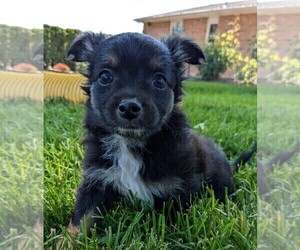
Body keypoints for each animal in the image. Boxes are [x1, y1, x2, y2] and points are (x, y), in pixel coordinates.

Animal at [67, 31, 245, 232]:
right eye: (105, 77)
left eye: (159, 80)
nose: (129, 108)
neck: (130, 143)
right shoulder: (95, 180)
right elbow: (81, 221)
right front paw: (67, 238)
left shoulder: (179, 192)